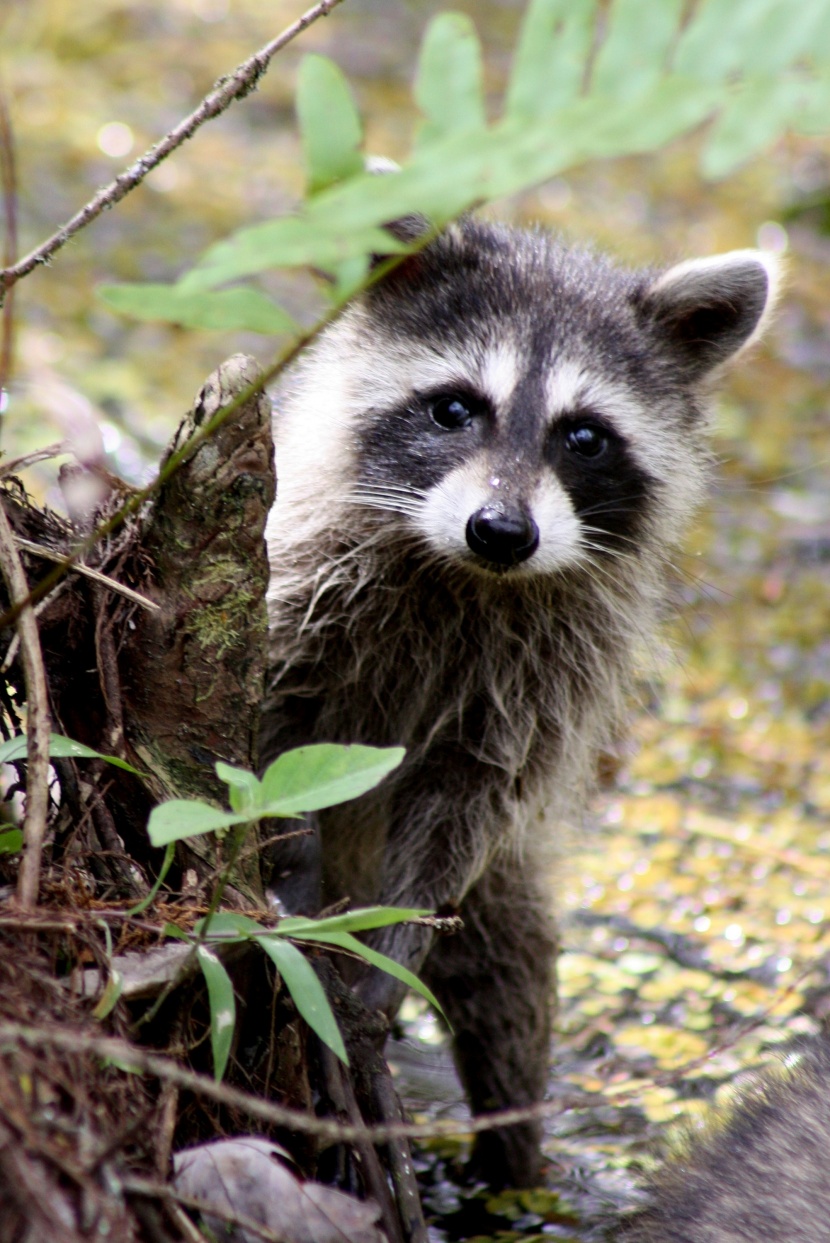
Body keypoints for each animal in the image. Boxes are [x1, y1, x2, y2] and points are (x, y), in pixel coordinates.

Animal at [260, 218, 780, 1188]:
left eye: (584, 435)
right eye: (455, 408)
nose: (502, 531)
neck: (467, 575)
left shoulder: (539, 681)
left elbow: (462, 808)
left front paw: (387, 956)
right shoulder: (296, 580)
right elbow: (276, 740)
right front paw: (295, 877)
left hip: (505, 890)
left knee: (509, 983)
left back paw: (512, 1155)